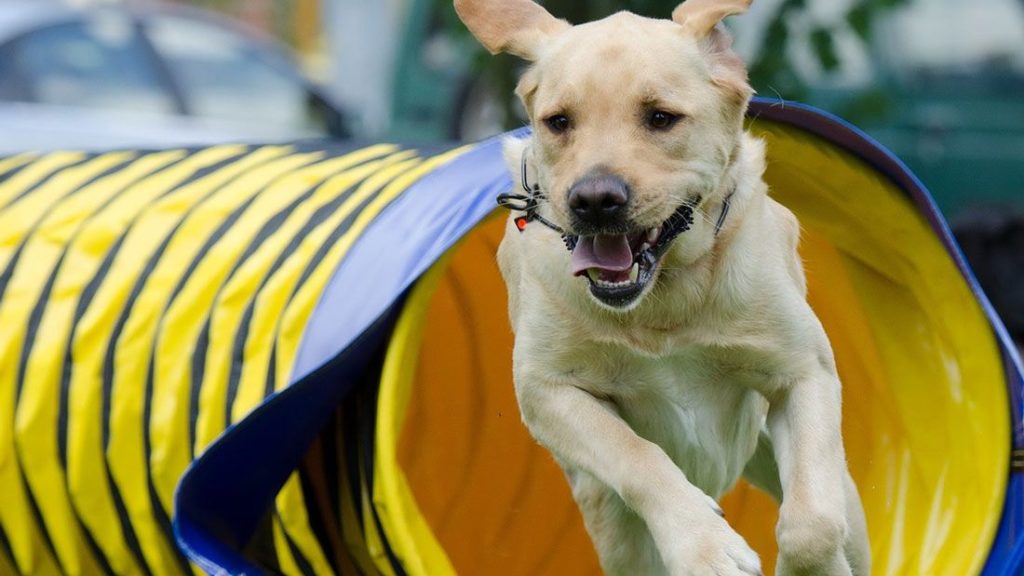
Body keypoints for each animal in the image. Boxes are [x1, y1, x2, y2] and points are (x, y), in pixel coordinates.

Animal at [458, 1, 872, 573]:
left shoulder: (802, 372)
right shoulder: (546, 391)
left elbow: (812, 525)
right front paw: (707, 545)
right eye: (558, 121)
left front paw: (808, 563)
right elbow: (637, 455)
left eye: (660, 117)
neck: (663, 298)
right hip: (610, 520)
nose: (593, 200)